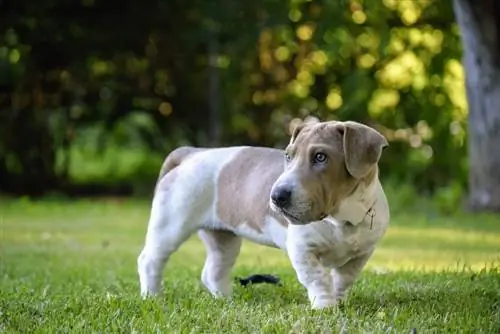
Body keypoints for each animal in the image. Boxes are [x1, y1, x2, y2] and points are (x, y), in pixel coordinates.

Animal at [137, 118, 390, 310]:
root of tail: (191, 153)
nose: (276, 196)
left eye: (320, 157)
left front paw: (337, 300)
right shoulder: (303, 250)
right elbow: (318, 278)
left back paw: (226, 301)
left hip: (223, 239)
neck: (340, 219)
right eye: (288, 156)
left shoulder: (362, 253)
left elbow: (344, 278)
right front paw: (325, 306)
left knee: (213, 272)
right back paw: (152, 297)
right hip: (171, 225)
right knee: (150, 260)